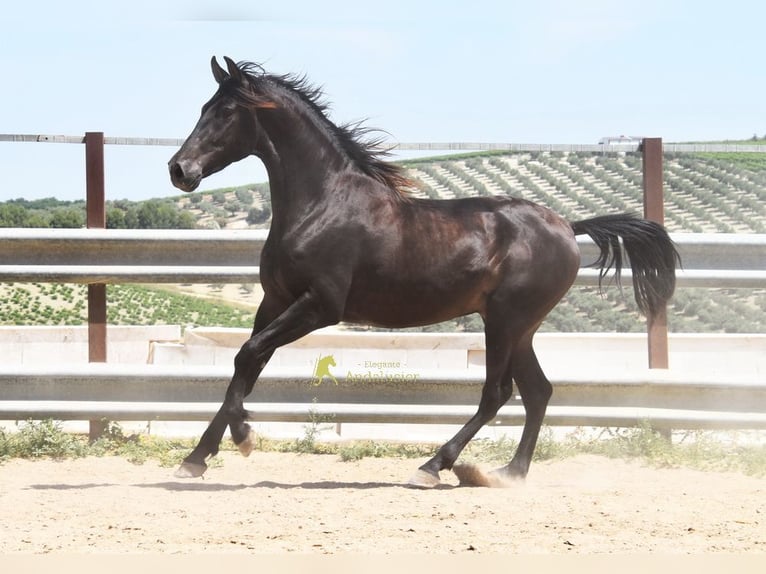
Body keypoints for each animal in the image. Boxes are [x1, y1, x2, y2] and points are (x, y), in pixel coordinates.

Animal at [168, 56, 679, 487]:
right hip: (520, 327)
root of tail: (568, 227)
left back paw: (434, 467)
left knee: (498, 392)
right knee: (538, 391)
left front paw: (244, 438)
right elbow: (246, 365)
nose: (179, 169)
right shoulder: (274, 301)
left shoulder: (319, 306)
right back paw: (508, 472)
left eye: (226, 113)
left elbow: (247, 355)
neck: (322, 204)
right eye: (203, 107)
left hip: (506, 321)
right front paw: (195, 459)